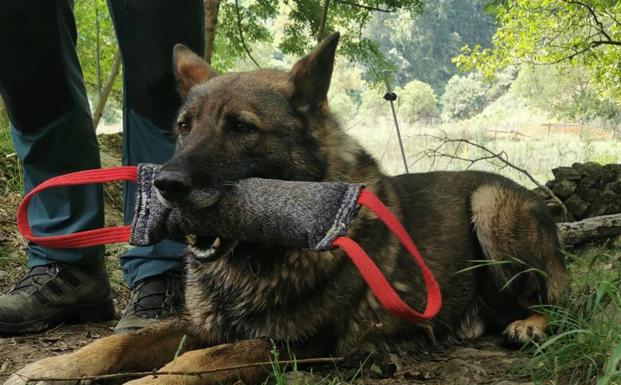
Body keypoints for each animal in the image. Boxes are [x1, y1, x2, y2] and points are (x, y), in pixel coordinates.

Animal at [3, 33, 568, 384]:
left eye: (240, 127)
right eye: (184, 127)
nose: (164, 184)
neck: (257, 257)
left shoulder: (287, 346)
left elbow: (190, 364)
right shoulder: (206, 326)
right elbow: (113, 347)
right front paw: (49, 368)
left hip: (491, 207)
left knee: (559, 301)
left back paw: (531, 325)